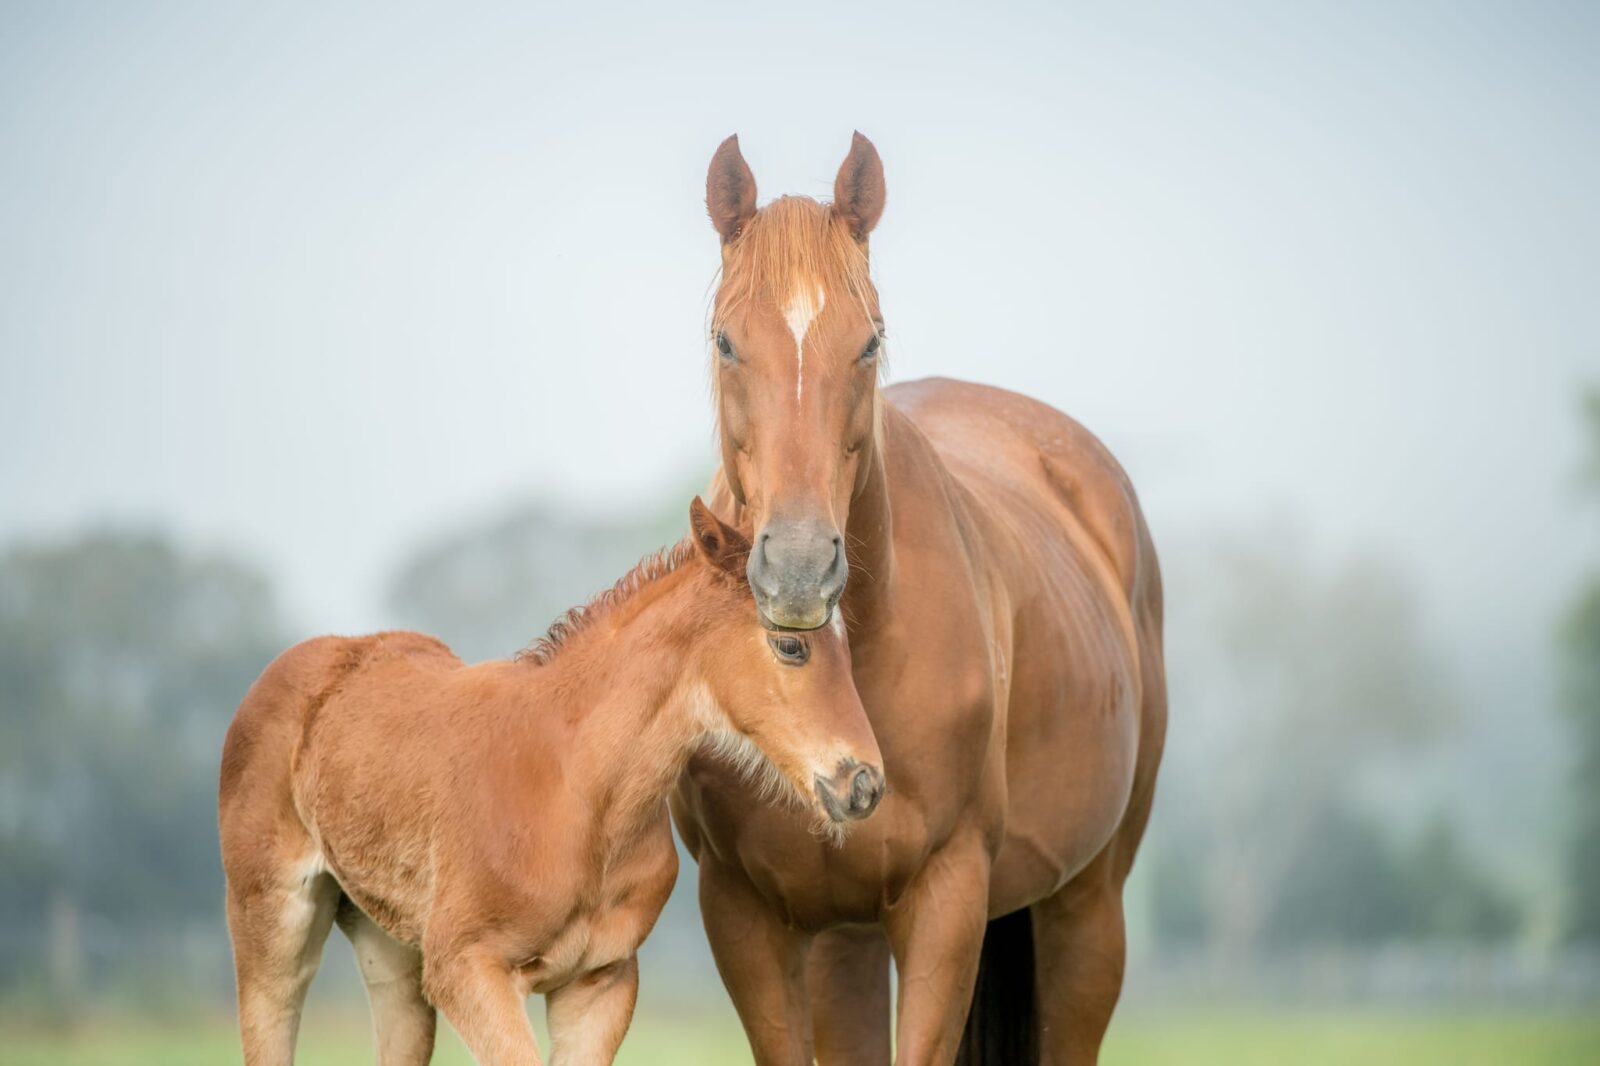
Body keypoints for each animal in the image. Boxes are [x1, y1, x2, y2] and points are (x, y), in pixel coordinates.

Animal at [218, 499, 886, 1066]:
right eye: (790, 646)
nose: (864, 784)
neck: (577, 793)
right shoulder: (467, 970)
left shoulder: (600, 983)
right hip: (272, 929)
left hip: (391, 954)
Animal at [670, 135, 1168, 1066]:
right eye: (725, 341)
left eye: (868, 342)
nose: (798, 569)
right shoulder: (743, 912)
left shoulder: (948, 898)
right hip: (849, 941)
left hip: (1088, 907)